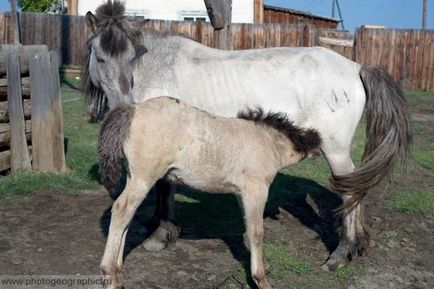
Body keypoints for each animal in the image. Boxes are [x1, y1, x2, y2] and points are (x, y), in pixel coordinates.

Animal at [84, 0, 410, 272]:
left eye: (131, 58)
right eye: (100, 58)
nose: (124, 103)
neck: (157, 67)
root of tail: (357, 67)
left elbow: (165, 187)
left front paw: (161, 234)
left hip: (335, 150)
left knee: (350, 191)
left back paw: (341, 254)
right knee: (356, 186)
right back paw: (359, 244)